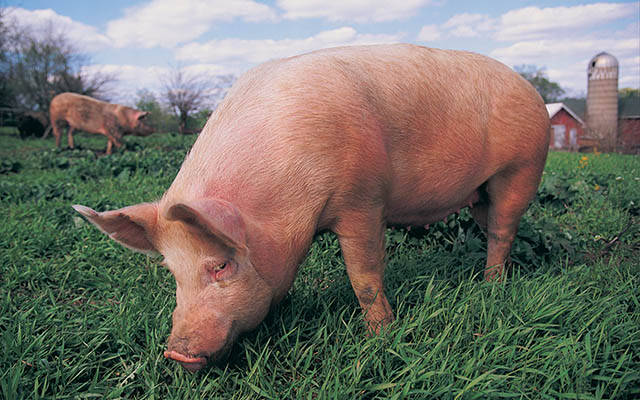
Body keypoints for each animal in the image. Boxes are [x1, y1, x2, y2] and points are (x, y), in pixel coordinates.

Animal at [72, 44, 550, 372]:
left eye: (221, 265)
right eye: (172, 271)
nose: (176, 353)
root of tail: (530, 88)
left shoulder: (362, 200)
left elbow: (365, 277)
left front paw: (379, 337)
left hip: (522, 168)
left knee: (502, 230)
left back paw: (491, 286)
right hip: (482, 192)